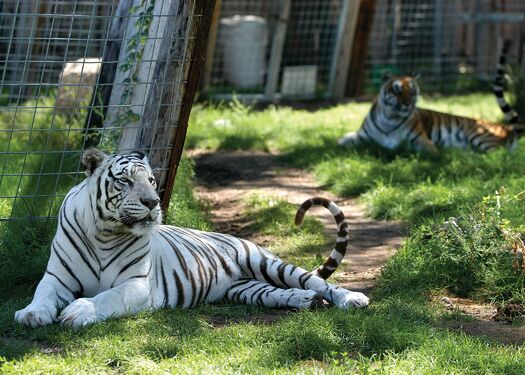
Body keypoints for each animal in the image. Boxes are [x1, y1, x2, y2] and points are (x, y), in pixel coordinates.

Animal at [14, 150, 366, 328]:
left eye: (151, 180)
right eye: (125, 181)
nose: (152, 202)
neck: (106, 232)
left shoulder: (138, 285)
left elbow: (107, 297)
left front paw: (78, 312)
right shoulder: (57, 278)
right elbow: (42, 294)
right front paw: (32, 314)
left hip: (267, 263)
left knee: (320, 283)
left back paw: (352, 299)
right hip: (245, 289)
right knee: (278, 293)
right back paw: (303, 300)